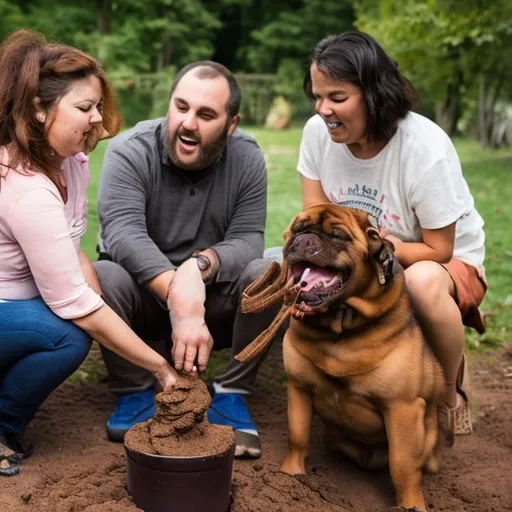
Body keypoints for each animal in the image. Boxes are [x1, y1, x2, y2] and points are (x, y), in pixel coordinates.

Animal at [238, 205, 446, 512]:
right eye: (297, 230)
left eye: (338, 236)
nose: (303, 240)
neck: (340, 330)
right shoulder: (298, 387)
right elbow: (297, 434)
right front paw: (290, 477)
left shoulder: (402, 408)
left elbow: (402, 465)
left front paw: (411, 505)